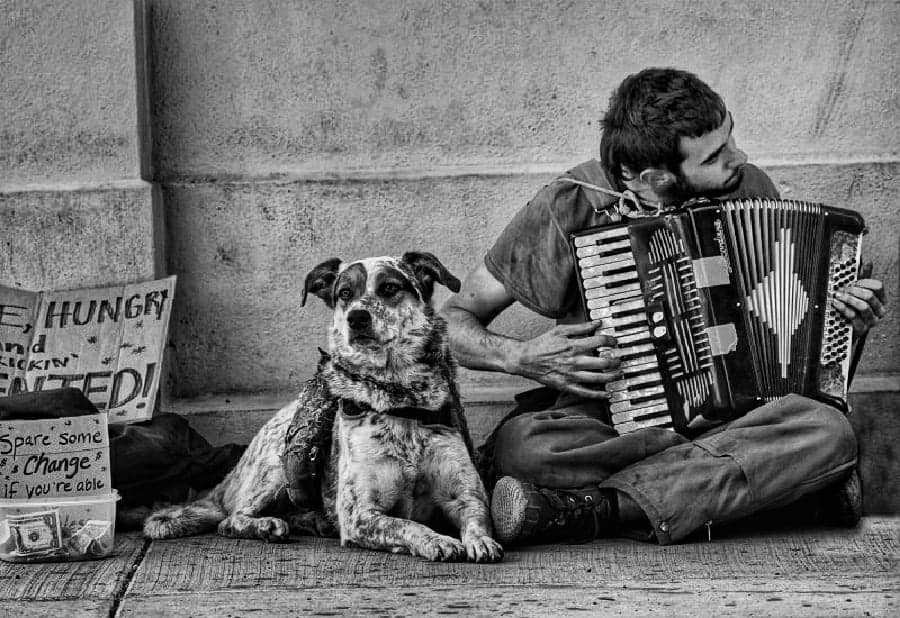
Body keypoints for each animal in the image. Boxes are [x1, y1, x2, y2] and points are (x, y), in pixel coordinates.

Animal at [144, 251, 502, 564]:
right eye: (344, 293)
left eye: (389, 288)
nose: (357, 317)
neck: (398, 399)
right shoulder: (361, 515)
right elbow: (407, 524)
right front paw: (438, 540)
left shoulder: (464, 494)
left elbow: (477, 516)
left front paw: (480, 540)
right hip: (278, 466)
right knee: (231, 519)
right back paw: (266, 525)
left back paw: (312, 520)